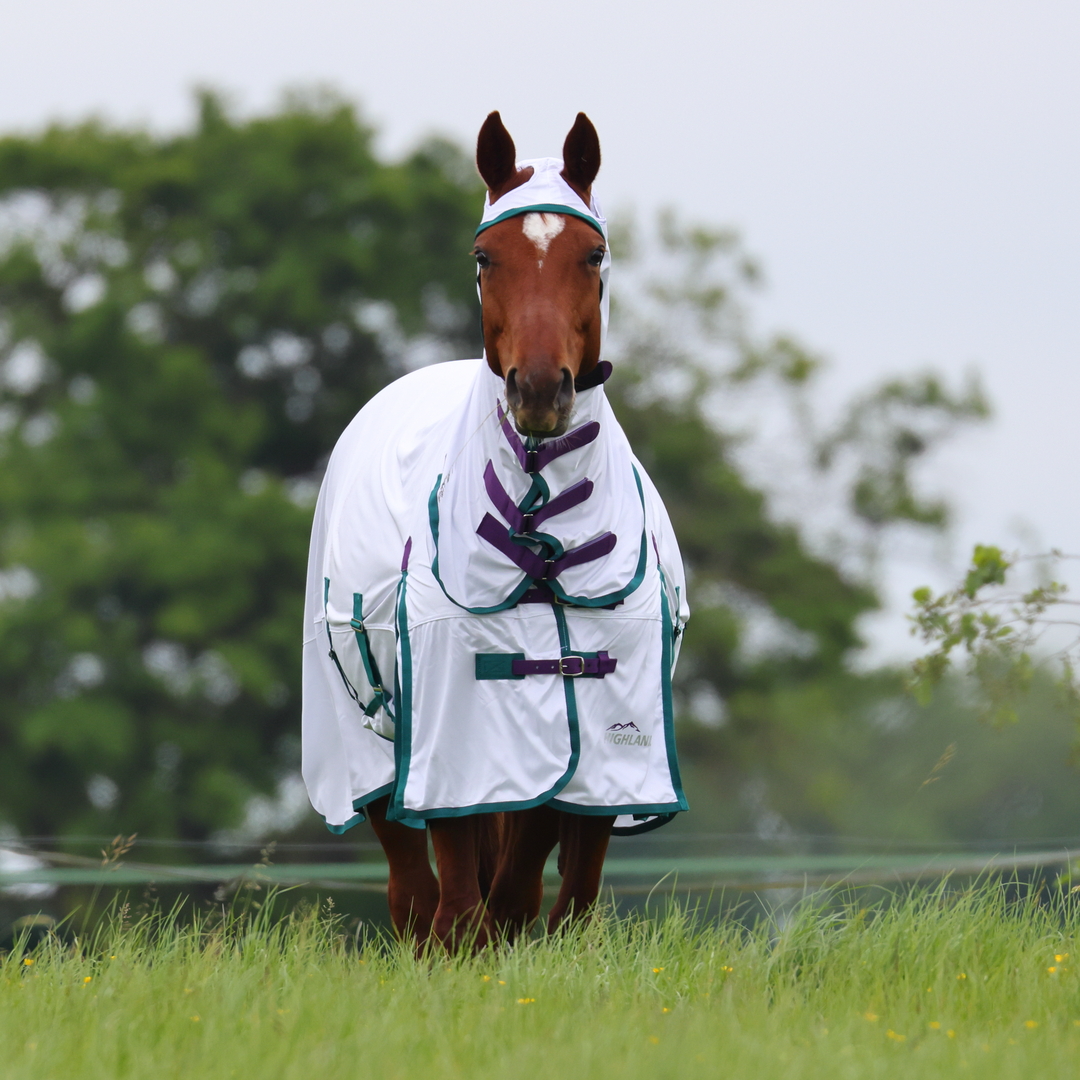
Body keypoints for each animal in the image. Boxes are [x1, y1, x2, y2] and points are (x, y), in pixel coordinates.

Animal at [301, 112, 689, 949]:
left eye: (593, 255)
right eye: (486, 258)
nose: (539, 391)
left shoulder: (598, 755)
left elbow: (542, 895)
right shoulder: (455, 746)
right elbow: (463, 908)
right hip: (368, 752)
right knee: (413, 897)